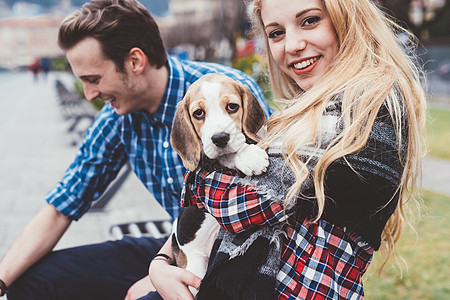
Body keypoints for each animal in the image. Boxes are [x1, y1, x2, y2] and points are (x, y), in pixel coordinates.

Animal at [168, 73, 268, 296]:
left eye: (232, 107)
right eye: (198, 113)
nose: (220, 138)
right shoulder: (206, 161)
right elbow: (227, 156)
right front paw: (250, 157)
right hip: (195, 267)